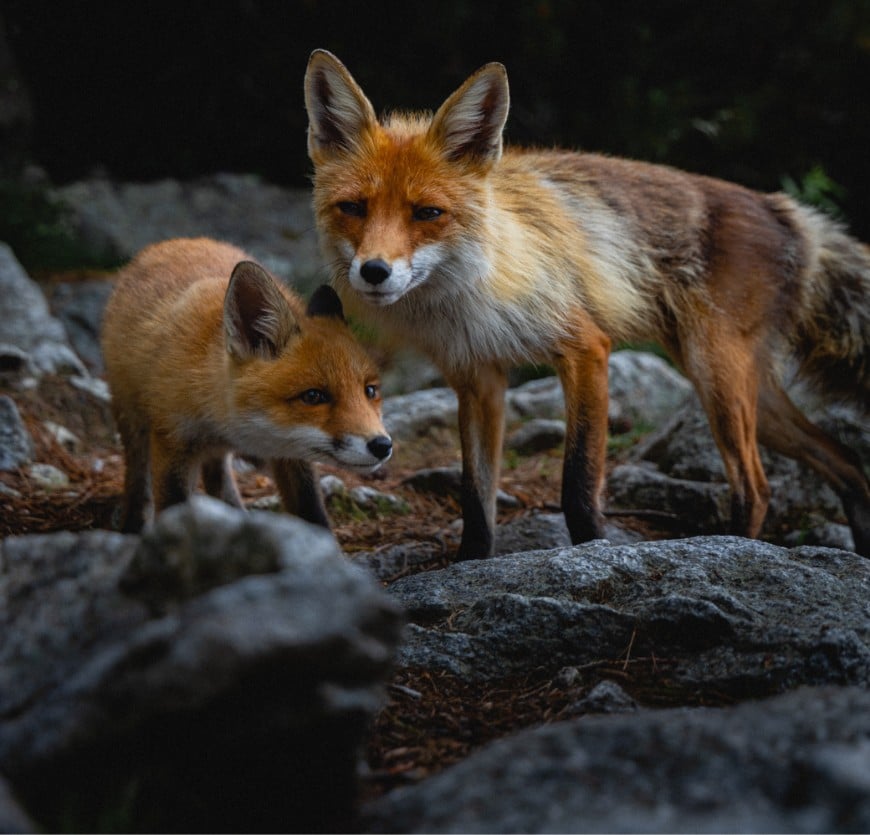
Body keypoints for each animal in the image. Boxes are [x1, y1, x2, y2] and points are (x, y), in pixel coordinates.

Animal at [99, 238, 396, 532]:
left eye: (370, 391)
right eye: (313, 396)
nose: (382, 445)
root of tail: (170, 243)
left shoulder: (291, 455)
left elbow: (312, 512)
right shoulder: (172, 442)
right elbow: (172, 508)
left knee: (218, 478)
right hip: (133, 422)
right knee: (139, 480)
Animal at [304, 49, 870, 560]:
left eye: (427, 213)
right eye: (353, 208)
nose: (374, 271)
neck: (469, 294)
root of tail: (782, 207)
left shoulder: (586, 349)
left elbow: (577, 484)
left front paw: (593, 551)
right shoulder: (478, 377)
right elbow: (476, 496)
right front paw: (469, 563)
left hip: (717, 377)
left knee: (757, 488)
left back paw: (733, 548)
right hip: (746, 391)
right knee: (845, 462)